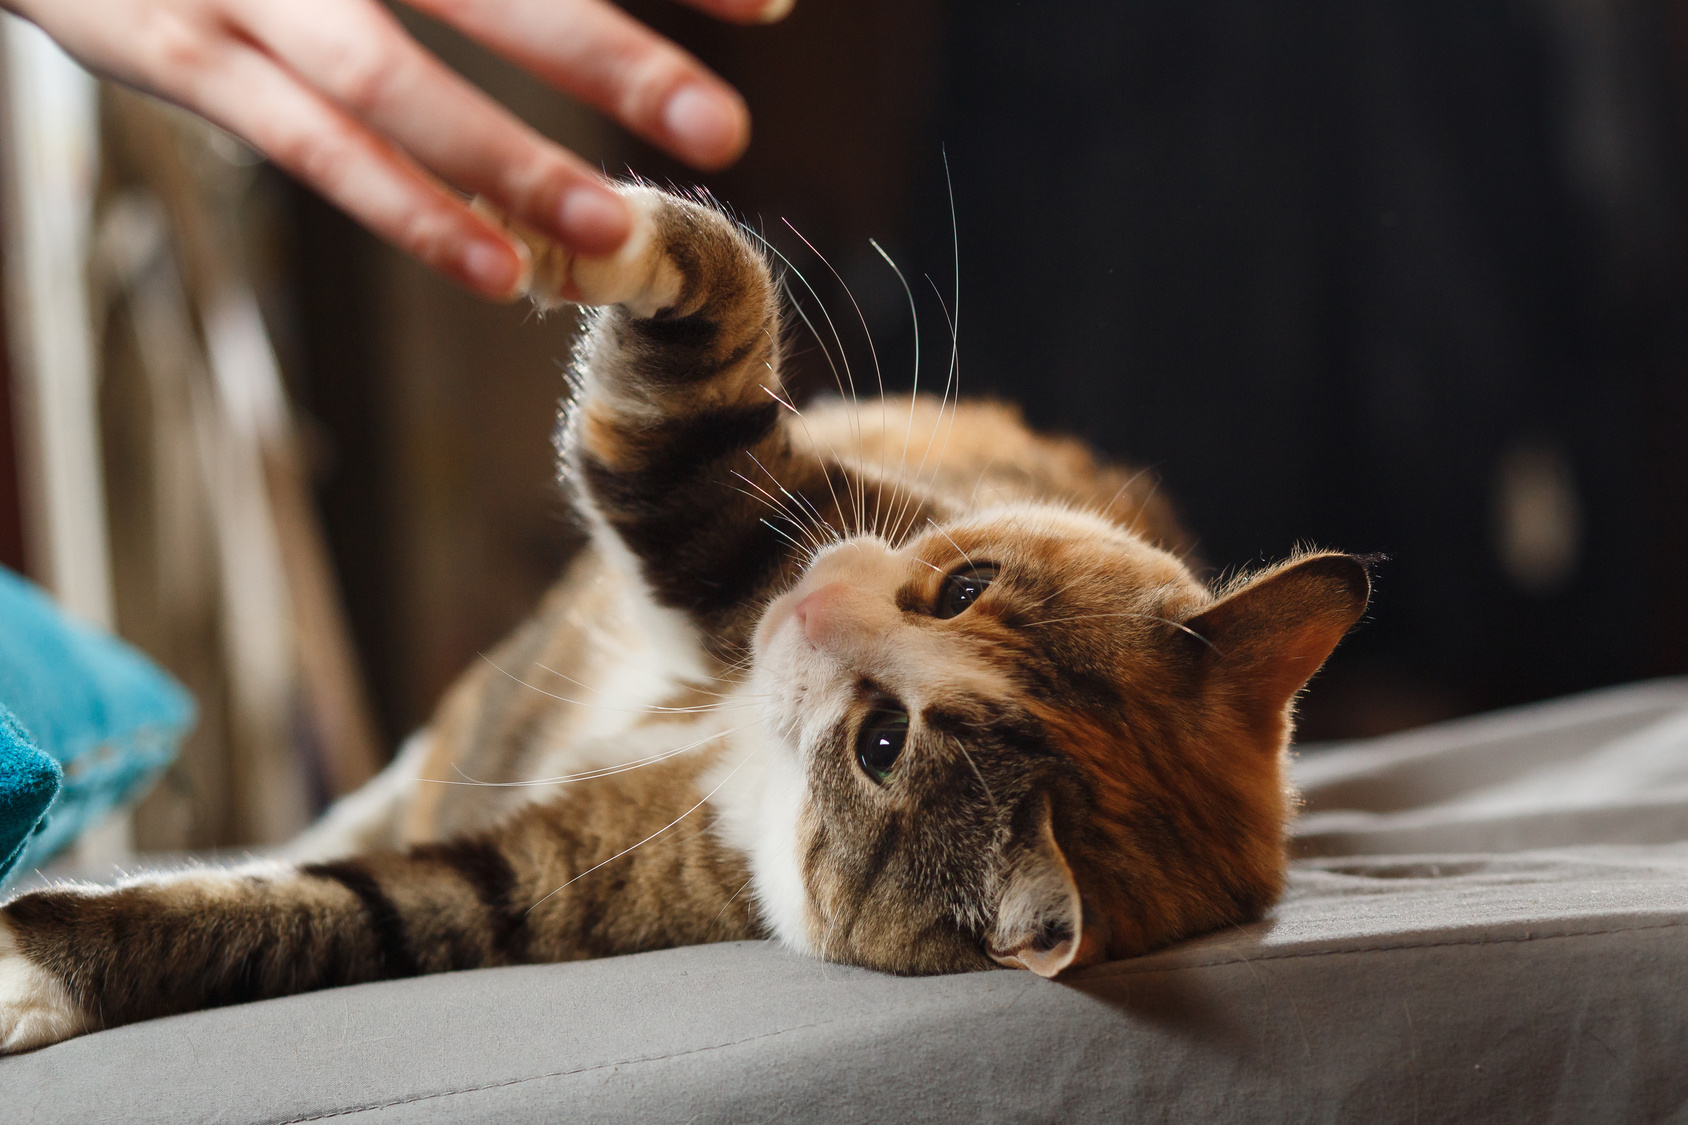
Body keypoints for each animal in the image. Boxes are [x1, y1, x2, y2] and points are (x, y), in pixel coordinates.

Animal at [0, 184, 1363, 1054]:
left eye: (880, 746)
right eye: (963, 583)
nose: (811, 604)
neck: (737, 730)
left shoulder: (563, 883)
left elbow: (338, 910)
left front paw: (27, 975)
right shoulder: (755, 522)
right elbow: (685, 389)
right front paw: (565, 225)